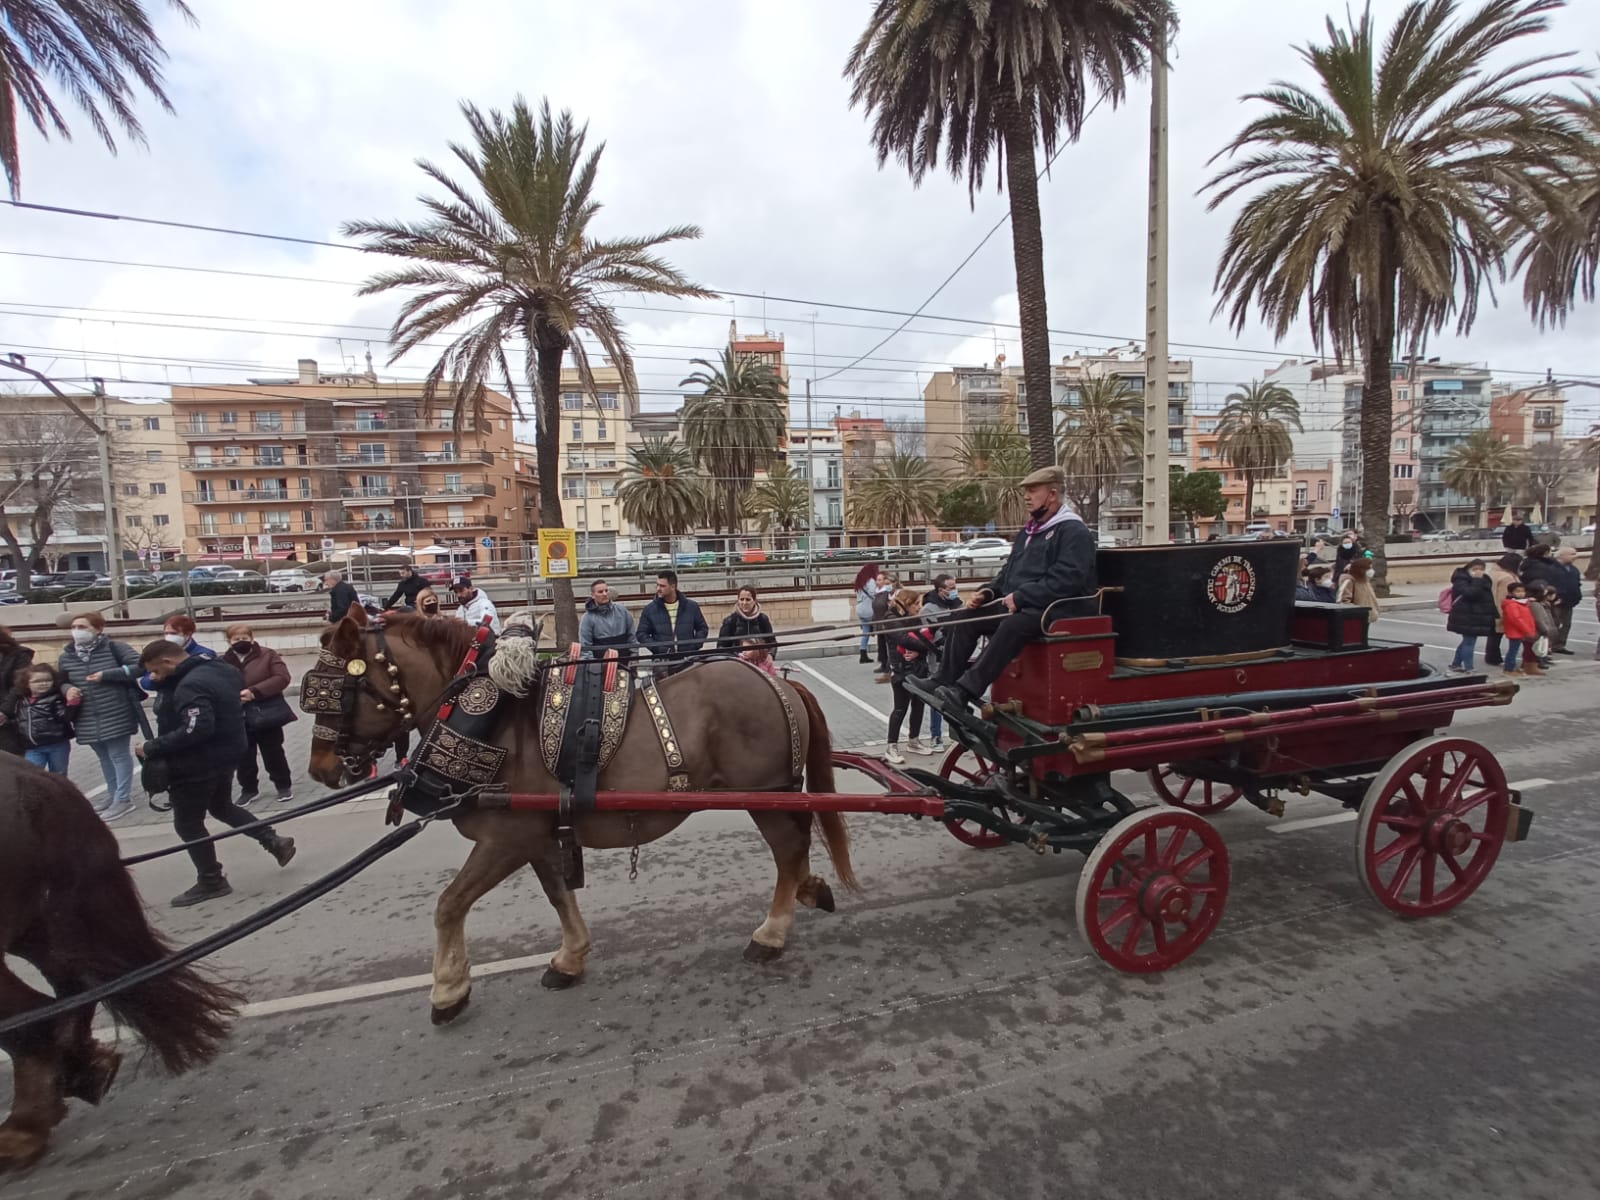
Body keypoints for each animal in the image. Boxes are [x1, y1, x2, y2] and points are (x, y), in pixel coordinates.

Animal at [0, 761, 238, 1164]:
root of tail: (33, 776)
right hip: (40, 922)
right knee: (69, 990)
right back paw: (79, 1074)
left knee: (34, 1017)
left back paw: (26, 1126)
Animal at [305, 611, 857, 1024]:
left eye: (335, 690)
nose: (321, 768)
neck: (493, 718)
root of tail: (778, 684)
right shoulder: (538, 833)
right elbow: (557, 893)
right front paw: (569, 958)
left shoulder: (506, 836)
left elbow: (449, 904)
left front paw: (448, 990)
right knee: (796, 845)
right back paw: (809, 889)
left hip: (762, 795)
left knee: (789, 849)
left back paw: (772, 932)